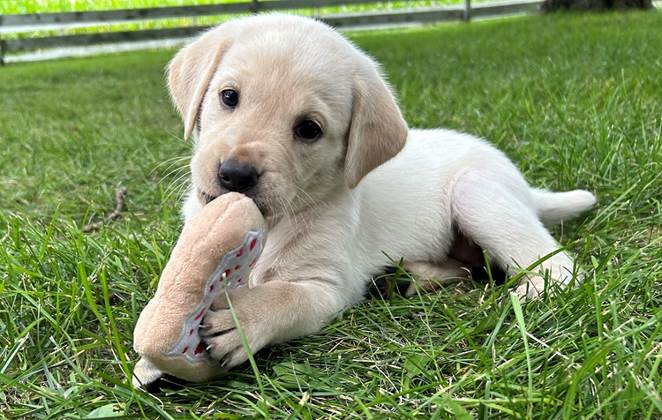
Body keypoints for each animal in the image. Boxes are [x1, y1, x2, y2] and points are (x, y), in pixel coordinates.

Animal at [167, 13, 596, 368]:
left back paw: (518, 298)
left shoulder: (331, 286)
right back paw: (410, 277)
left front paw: (241, 321)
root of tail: (524, 186)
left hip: (475, 194)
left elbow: (286, 297)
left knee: (559, 267)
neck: (275, 222)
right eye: (228, 97)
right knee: (470, 264)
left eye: (309, 129)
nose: (235, 175)